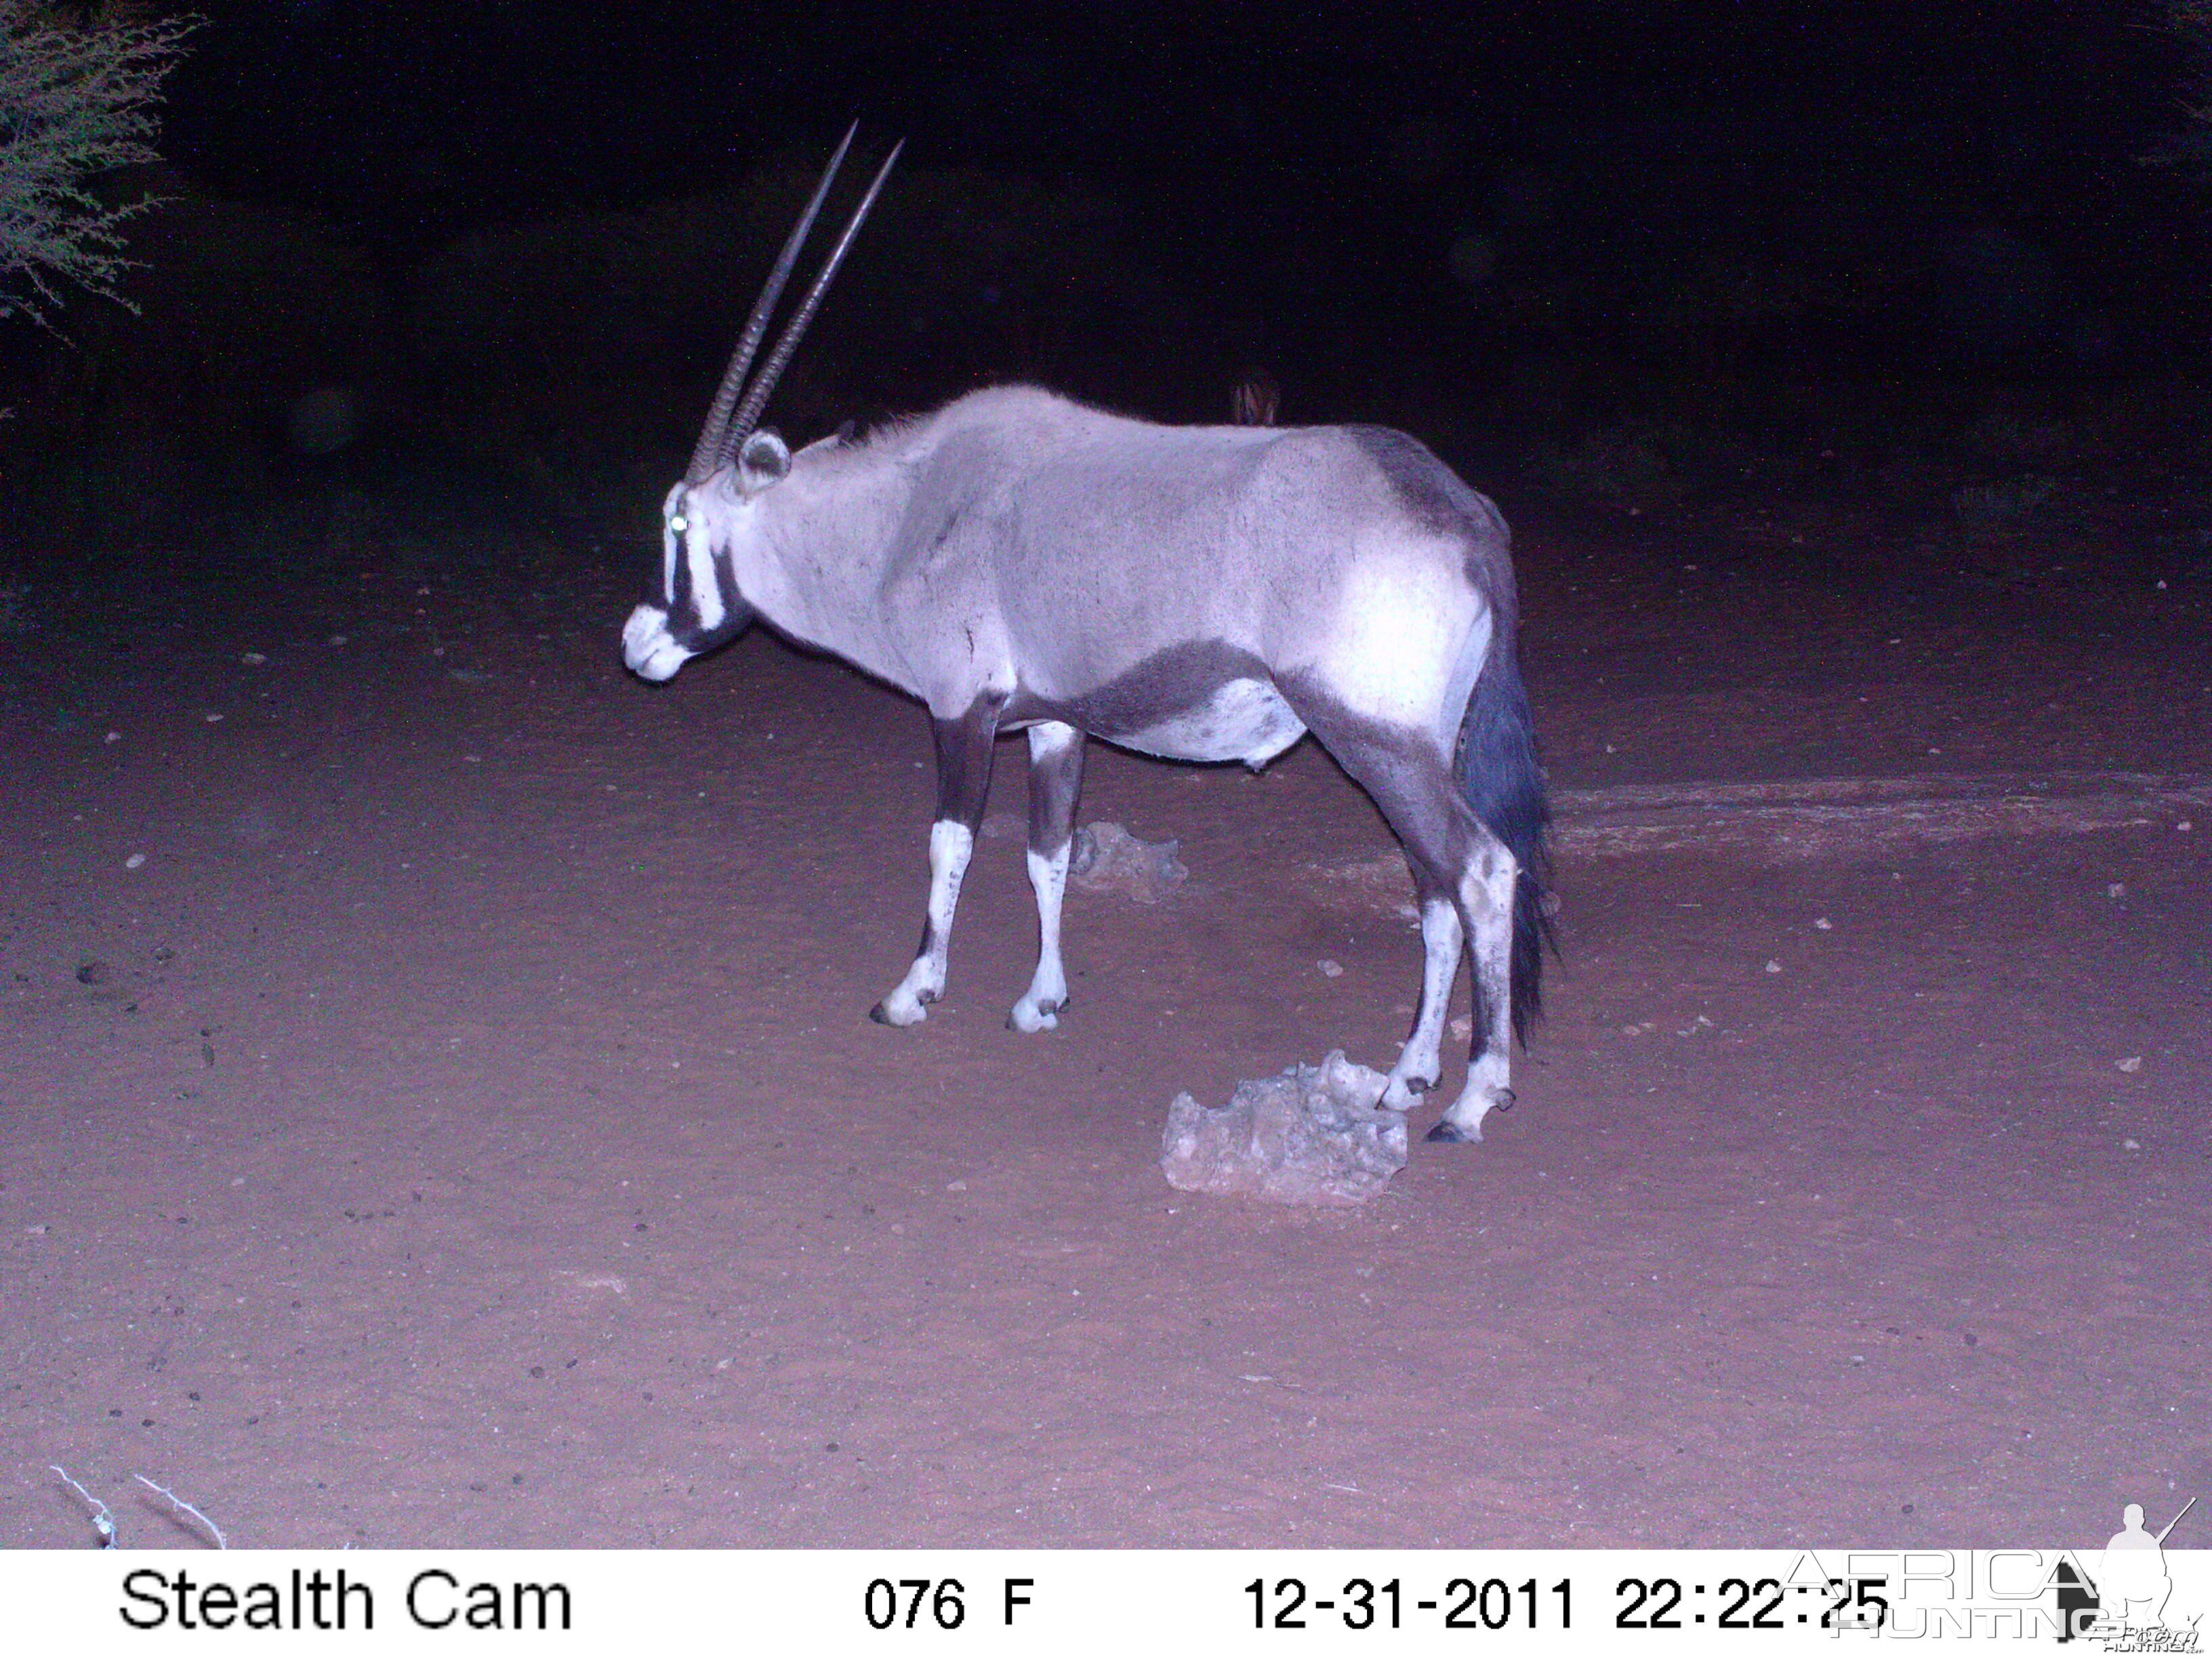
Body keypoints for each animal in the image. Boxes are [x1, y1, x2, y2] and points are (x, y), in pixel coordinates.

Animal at [619, 133, 1557, 1141]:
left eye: (678, 524)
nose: (637, 643)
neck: (908, 511)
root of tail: (1462, 511)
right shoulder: (1053, 723)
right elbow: (1048, 852)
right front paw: (1042, 999)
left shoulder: (963, 710)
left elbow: (951, 843)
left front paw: (913, 992)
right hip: (1413, 749)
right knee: (1434, 887)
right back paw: (1409, 1072)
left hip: (1376, 739)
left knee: (1481, 870)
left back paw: (1471, 1094)